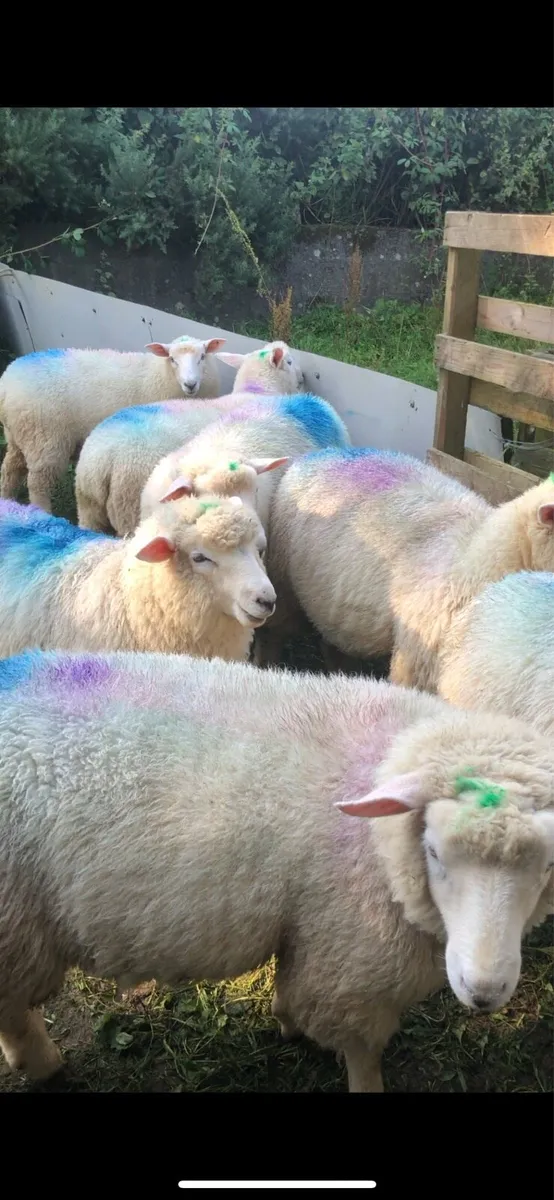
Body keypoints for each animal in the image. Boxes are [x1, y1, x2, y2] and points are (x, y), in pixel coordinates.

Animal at [0, 335, 225, 513]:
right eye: (172, 359)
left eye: (202, 357)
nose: (190, 384)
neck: (159, 373)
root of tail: (6, 385)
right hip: (46, 439)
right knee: (37, 484)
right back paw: (43, 513)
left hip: (19, 435)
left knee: (10, 468)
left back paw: (7, 499)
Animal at [0, 649, 552, 1090]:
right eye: (434, 853)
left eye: (547, 866)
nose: (484, 993)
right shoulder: (350, 963)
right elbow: (363, 1052)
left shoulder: (311, 939)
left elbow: (295, 988)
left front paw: (286, 1020)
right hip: (14, 922)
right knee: (14, 1009)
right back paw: (43, 1063)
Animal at [75, 341, 305, 536]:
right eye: (290, 361)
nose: (303, 377)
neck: (258, 391)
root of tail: (100, 461)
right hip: (127, 507)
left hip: (88, 506)